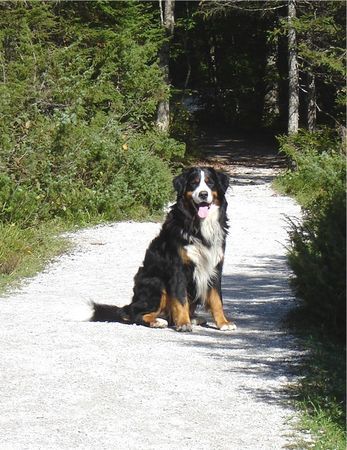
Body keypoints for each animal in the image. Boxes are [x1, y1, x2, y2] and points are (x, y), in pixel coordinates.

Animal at [89, 167, 237, 332]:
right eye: (194, 183)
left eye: (210, 182)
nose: (203, 194)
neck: (198, 225)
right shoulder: (178, 267)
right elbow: (180, 298)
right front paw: (183, 323)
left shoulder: (214, 266)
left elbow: (217, 299)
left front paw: (223, 323)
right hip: (156, 283)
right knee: (136, 314)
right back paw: (158, 321)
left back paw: (192, 319)